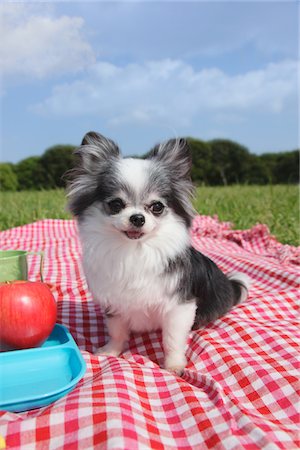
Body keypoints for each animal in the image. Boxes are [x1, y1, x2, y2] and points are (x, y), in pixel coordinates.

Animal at [67, 132, 250, 374]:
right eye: (116, 204)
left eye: (157, 207)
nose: (137, 217)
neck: (135, 251)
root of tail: (229, 285)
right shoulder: (115, 304)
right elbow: (117, 331)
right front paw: (111, 351)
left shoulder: (179, 307)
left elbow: (172, 339)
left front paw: (173, 366)